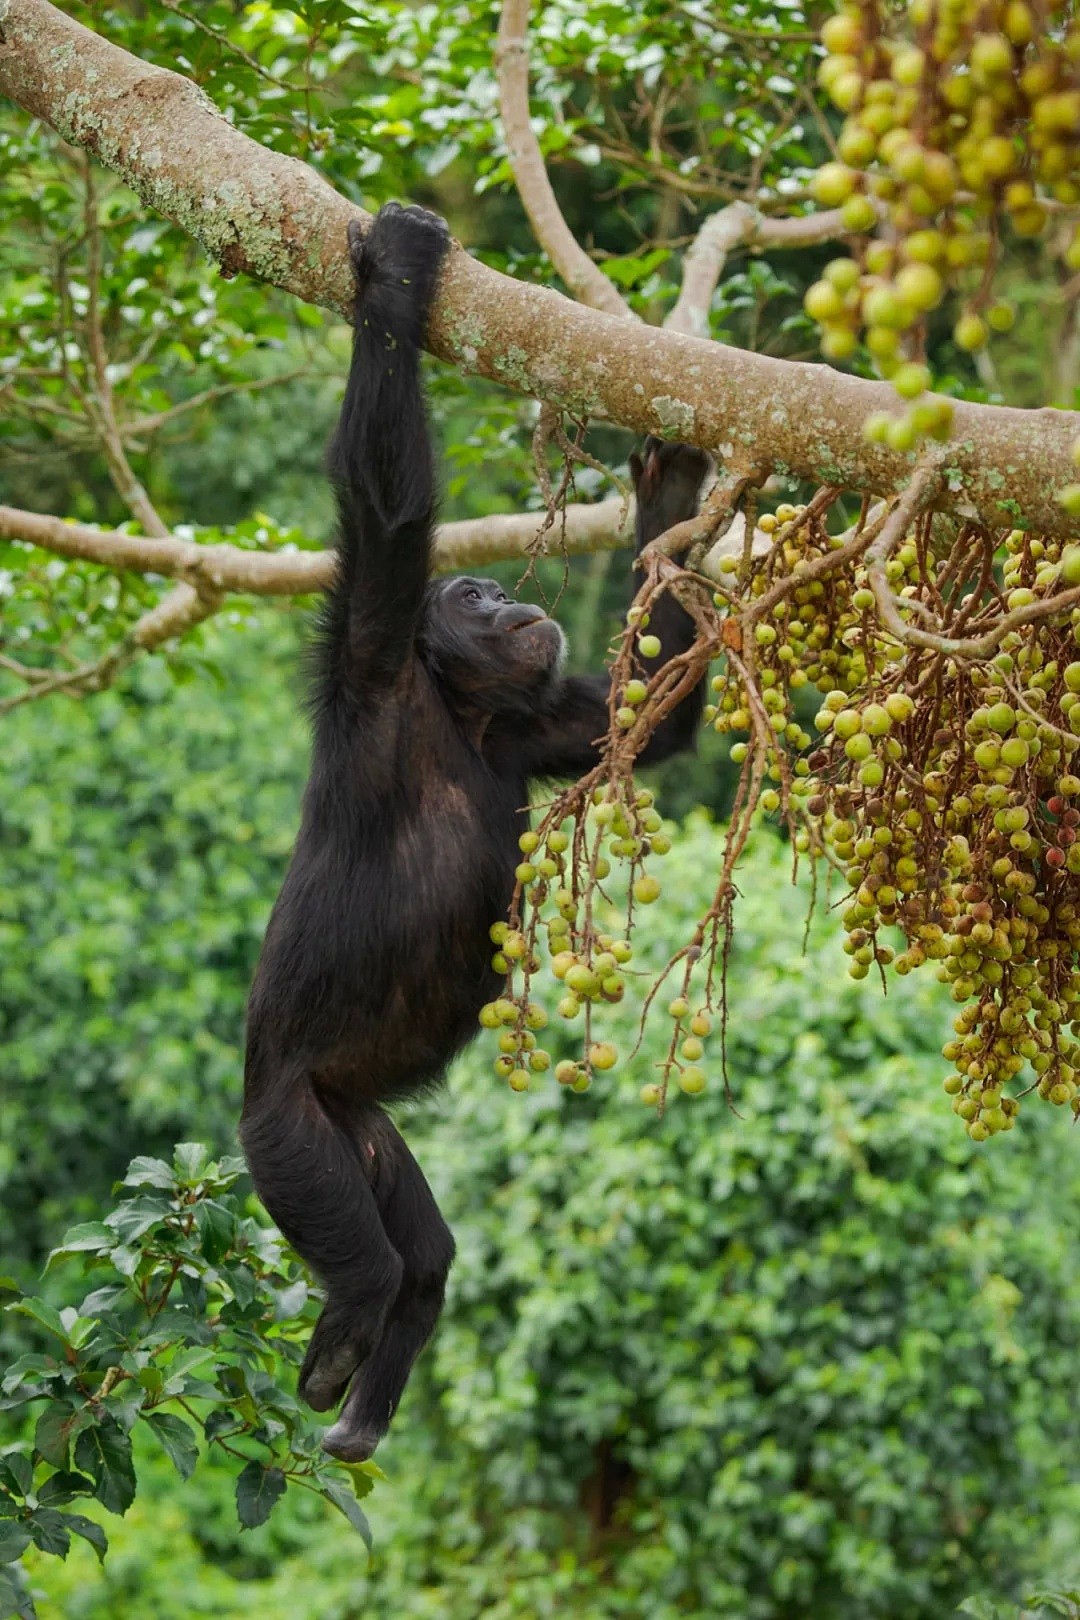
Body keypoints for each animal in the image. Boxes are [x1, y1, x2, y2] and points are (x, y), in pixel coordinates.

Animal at [246, 205, 718, 1470]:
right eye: (468, 600)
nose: (509, 603)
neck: (458, 711)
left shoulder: (534, 725)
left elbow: (644, 724)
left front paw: (674, 483)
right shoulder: (372, 658)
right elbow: (386, 504)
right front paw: (401, 270)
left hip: (364, 1137)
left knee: (427, 1256)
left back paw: (365, 1400)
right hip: (291, 1141)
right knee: (361, 1256)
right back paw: (344, 1337)